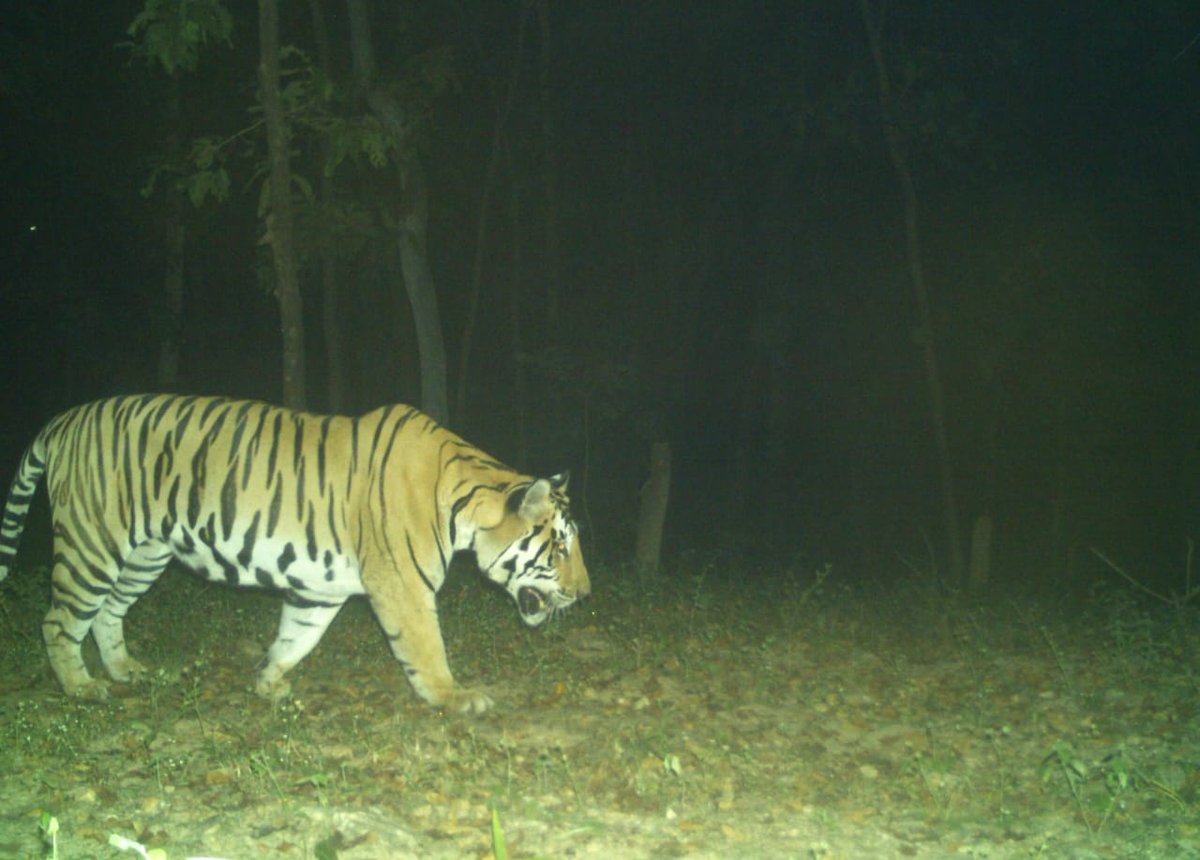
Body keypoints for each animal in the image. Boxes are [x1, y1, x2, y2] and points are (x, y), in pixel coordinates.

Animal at [0, 394, 589, 713]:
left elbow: (296, 637)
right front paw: (454, 697)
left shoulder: (318, 590)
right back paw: (81, 687)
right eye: (559, 544)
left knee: (108, 613)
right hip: (92, 545)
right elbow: (426, 650)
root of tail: (65, 419)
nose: (585, 595)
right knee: (58, 620)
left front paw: (268, 681)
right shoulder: (403, 587)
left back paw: (127, 671)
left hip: (144, 554)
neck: (465, 499)